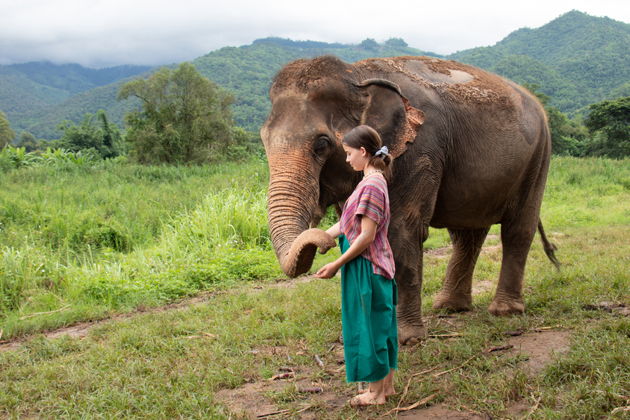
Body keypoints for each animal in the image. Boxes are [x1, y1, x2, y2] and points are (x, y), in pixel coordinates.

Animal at [260, 55, 560, 344]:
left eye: (321, 144)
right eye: (263, 139)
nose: (322, 244)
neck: (356, 75)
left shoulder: (421, 149)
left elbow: (402, 230)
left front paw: (406, 339)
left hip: (539, 158)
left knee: (518, 229)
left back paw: (504, 311)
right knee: (467, 235)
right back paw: (449, 306)